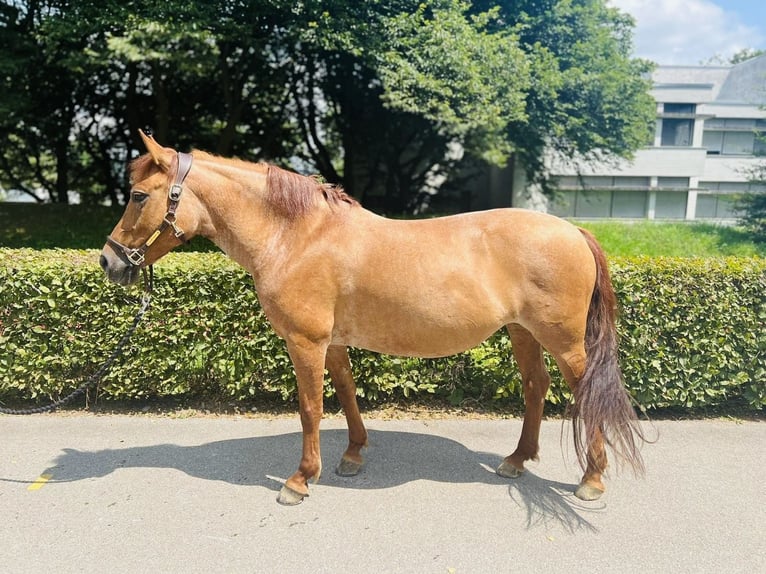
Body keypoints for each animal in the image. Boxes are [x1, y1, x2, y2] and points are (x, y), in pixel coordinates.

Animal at [99, 132, 644, 508]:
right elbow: (345, 394)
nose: (109, 262)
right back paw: (515, 461)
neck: (298, 237)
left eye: (139, 196)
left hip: (564, 340)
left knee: (584, 393)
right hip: (522, 332)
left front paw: (300, 480)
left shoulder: (305, 342)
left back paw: (591, 479)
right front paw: (353, 455)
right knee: (535, 387)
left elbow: (311, 408)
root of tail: (573, 230)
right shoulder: (333, 342)